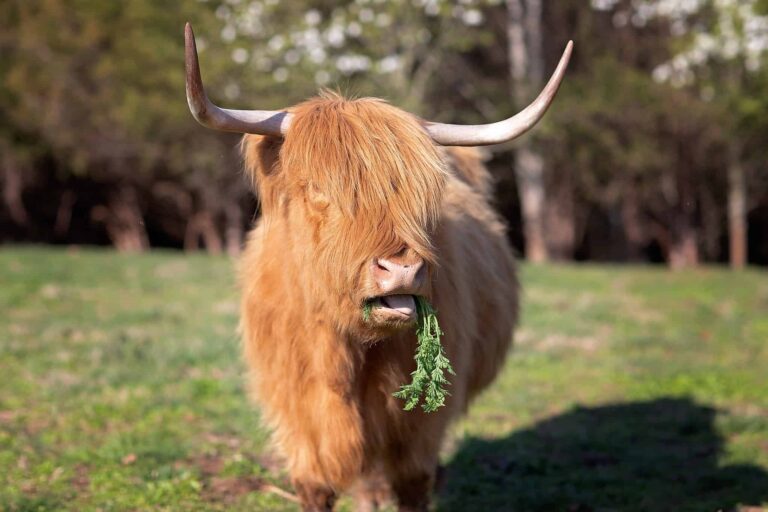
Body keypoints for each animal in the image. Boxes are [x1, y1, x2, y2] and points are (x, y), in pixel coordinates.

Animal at [184, 22, 568, 510]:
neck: (343, 353)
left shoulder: (416, 427)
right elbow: (316, 485)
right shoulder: (299, 416)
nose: (402, 269)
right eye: (317, 189)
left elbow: (412, 483)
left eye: (420, 193)